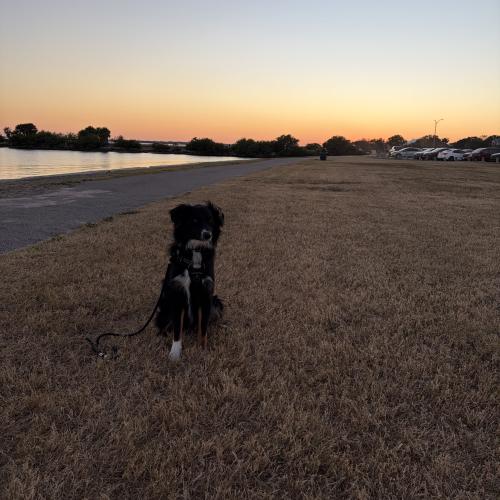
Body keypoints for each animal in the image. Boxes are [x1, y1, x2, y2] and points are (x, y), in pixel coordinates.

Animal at [155, 202, 224, 360]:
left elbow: (203, 327)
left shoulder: (206, 294)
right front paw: (175, 352)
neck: (195, 252)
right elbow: (177, 329)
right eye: (194, 221)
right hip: (165, 303)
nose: (208, 234)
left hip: (216, 302)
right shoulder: (178, 294)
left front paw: (203, 349)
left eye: (210, 220)